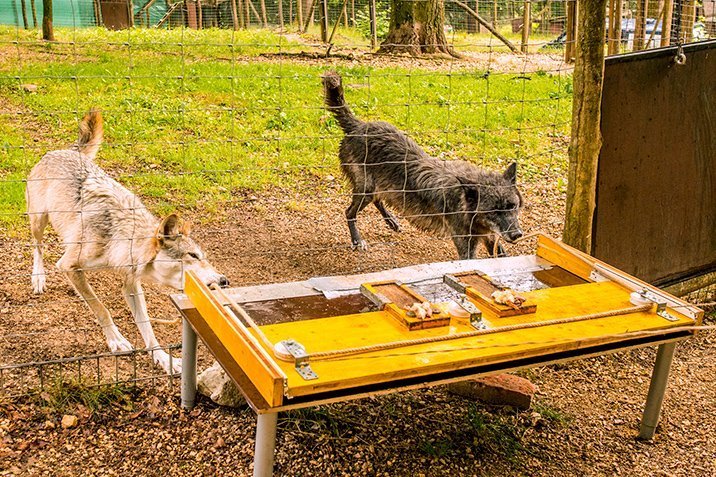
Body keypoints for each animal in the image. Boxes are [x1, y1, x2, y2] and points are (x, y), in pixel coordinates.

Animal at [26, 108, 228, 374]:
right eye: (193, 256)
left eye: (202, 257)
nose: (224, 281)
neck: (121, 237)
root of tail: (65, 151)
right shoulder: (69, 266)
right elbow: (101, 307)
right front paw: (116, 340)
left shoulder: (131, 283)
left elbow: (146, 324)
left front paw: (162, 358)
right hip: (39, 220)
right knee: (37, 246)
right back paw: (38, 278)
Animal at [322, 71, 524, 260]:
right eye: (494, 211)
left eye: (512, 206)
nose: (517, 234)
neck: (463, 201)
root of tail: (358, 125)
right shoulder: (466, 246)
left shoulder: (491, 237)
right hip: (366, 190)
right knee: (349, 212)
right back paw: (357, 240)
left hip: (376, 189)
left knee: (378, 200)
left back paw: (392, 221)